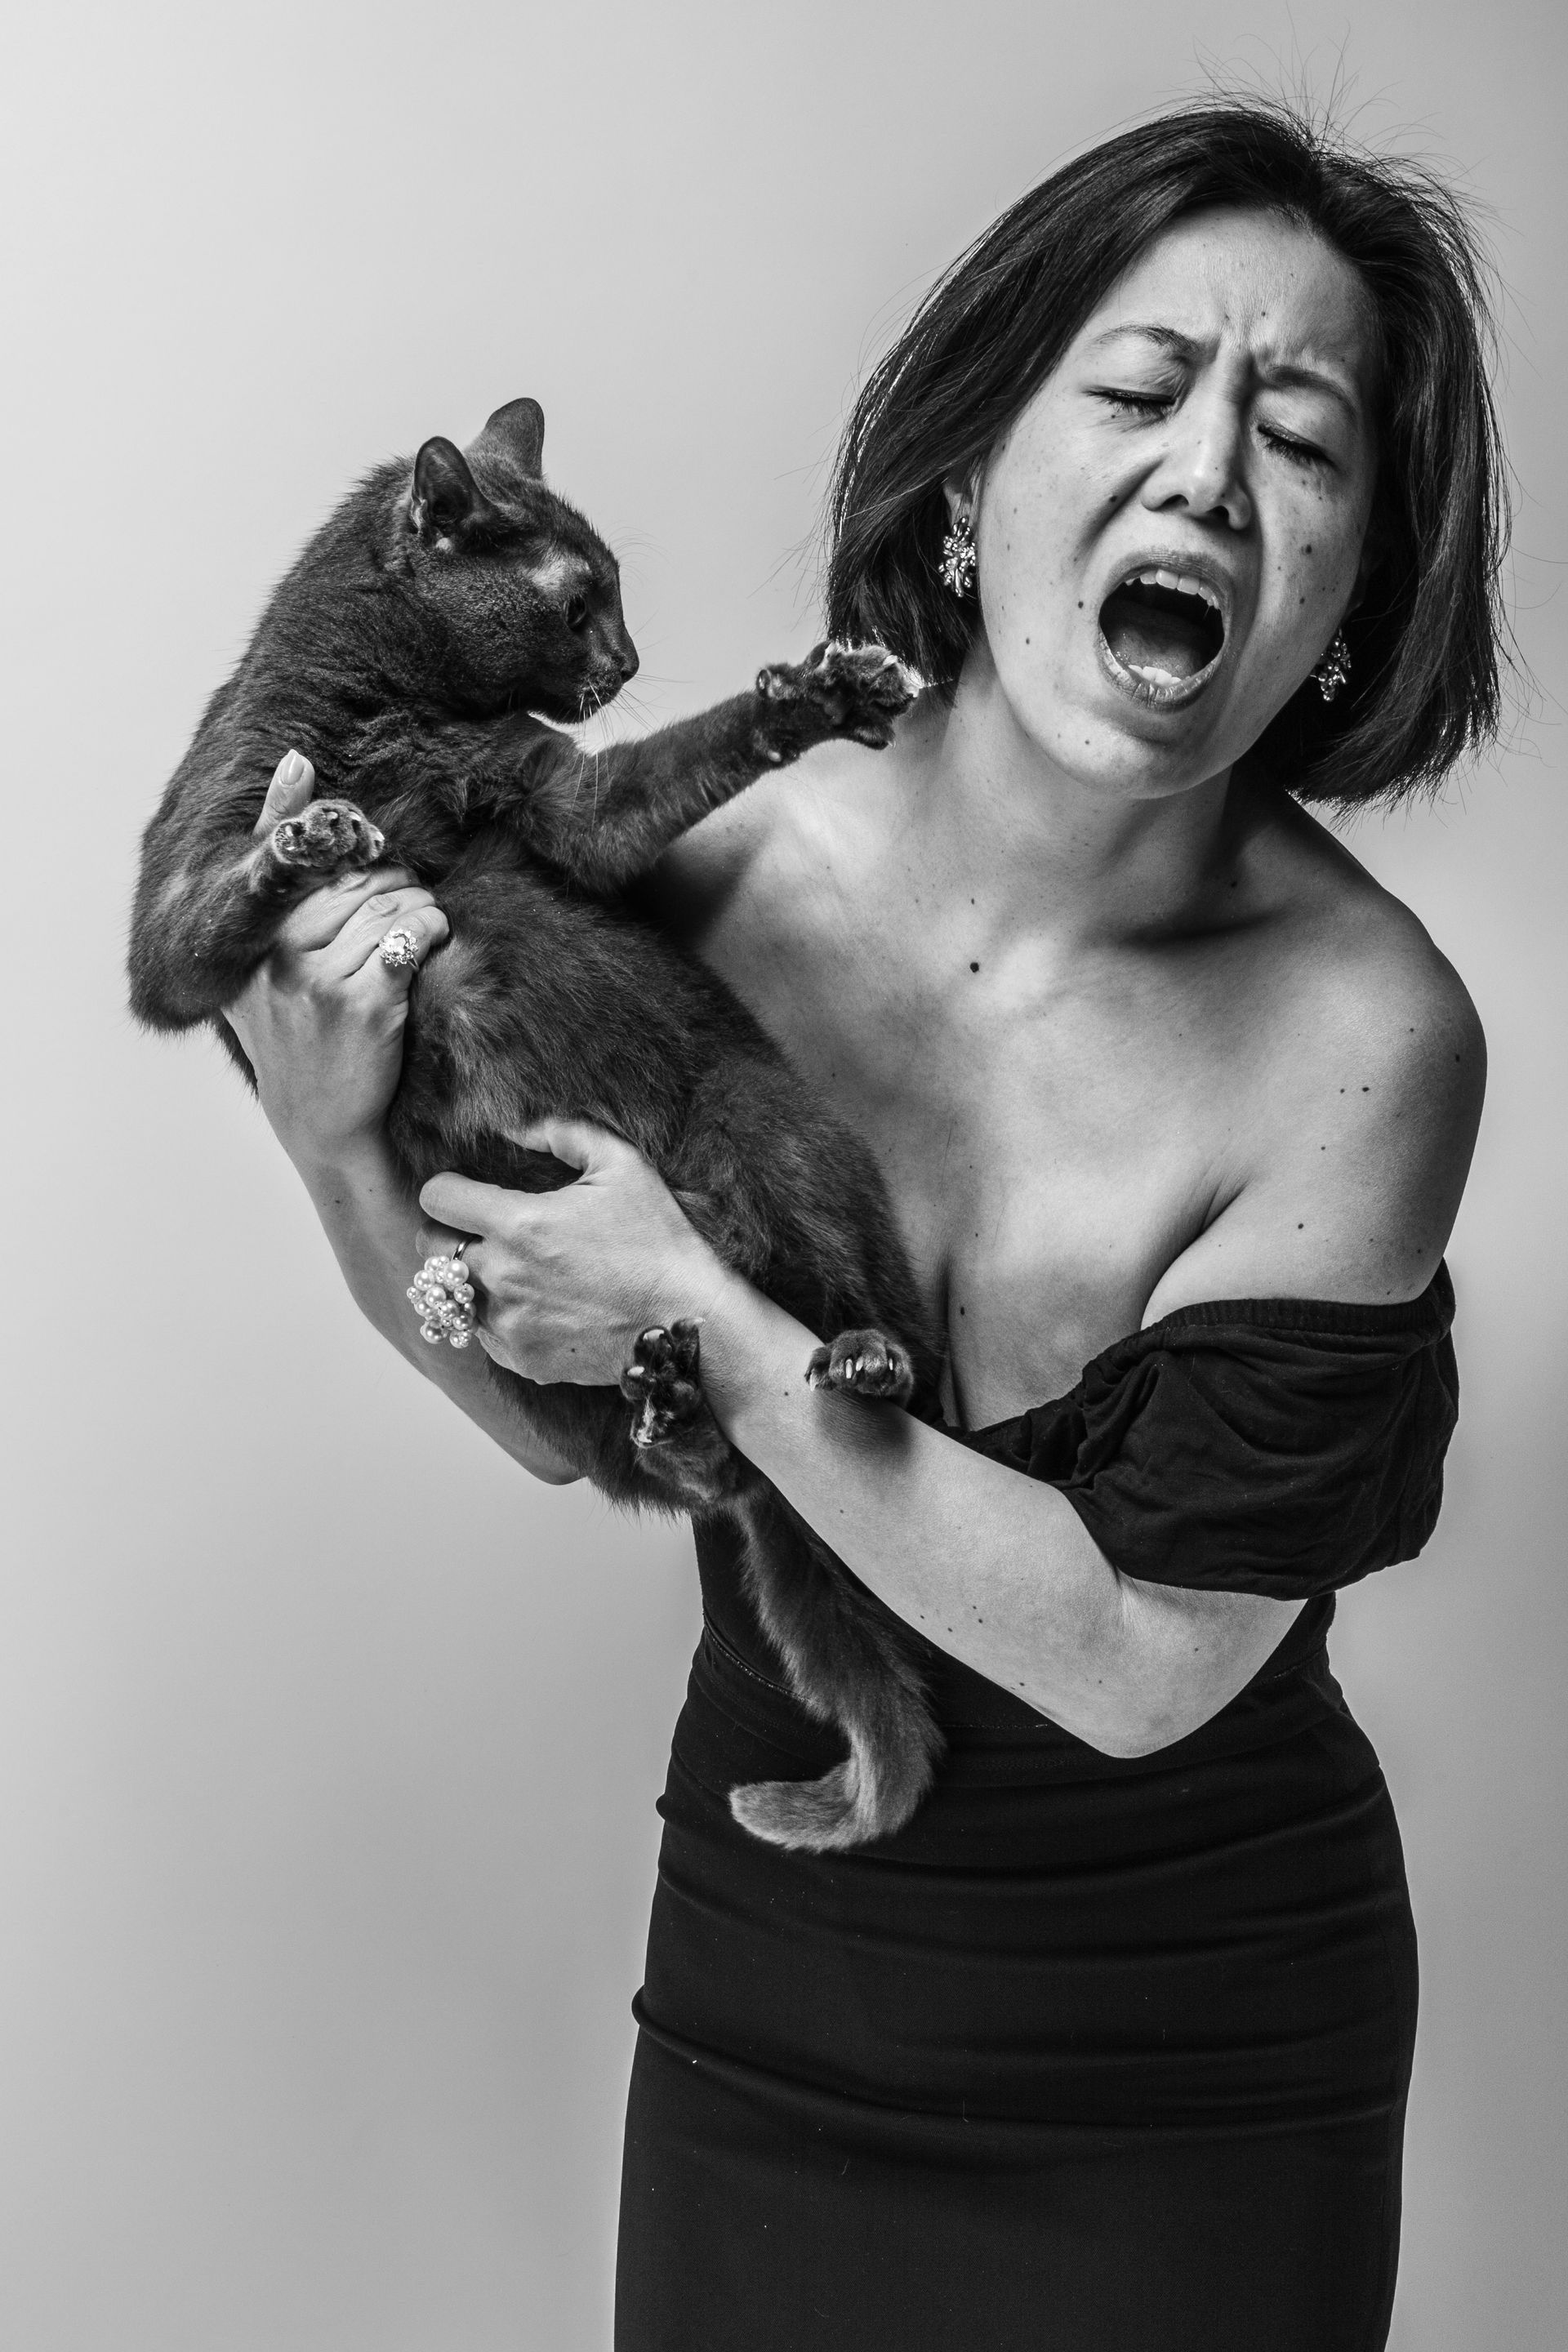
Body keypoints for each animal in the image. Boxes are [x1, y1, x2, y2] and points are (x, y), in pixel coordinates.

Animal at [129, 395, 947, 1853]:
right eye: (579, 601)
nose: (628, 658)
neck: (388, 715)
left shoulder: (570, 801)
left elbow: (662, 772)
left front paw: (821, 693)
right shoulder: (171, 909)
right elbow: (213, 902)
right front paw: (308, 841)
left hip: (769, 1128)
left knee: (868, 1349)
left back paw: (852, 1361)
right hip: (541, 1361)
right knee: (720, 1476)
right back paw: (675, 1411)